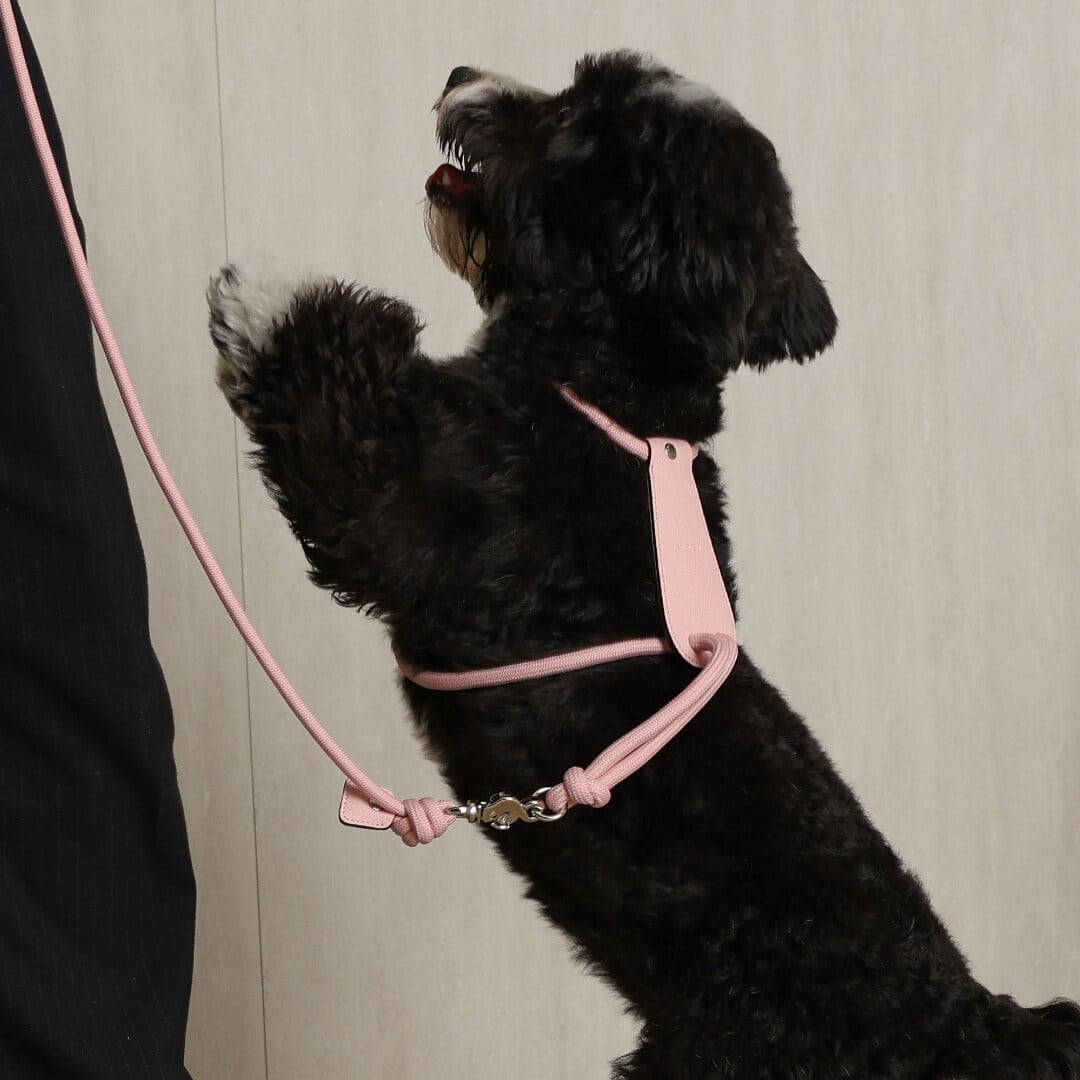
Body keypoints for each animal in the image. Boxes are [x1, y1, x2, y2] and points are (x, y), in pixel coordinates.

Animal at [208, 52, 1080, 1080]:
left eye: (580, 117)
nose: (461, 71)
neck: (607, 394)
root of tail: (977, 1026)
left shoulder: (408, 508)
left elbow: (335, 381)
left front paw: (259, 288)